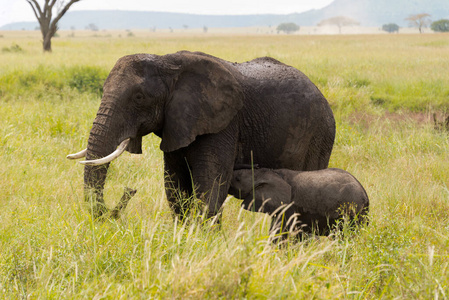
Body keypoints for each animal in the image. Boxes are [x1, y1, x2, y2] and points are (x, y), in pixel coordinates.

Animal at [65, 51, 332, 220]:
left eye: (139, 97)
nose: (129, 191)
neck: (167, 63)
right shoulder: (177, 125)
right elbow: (175, 186)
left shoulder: (224, 124)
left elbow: (211, 186)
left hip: (320, 135)